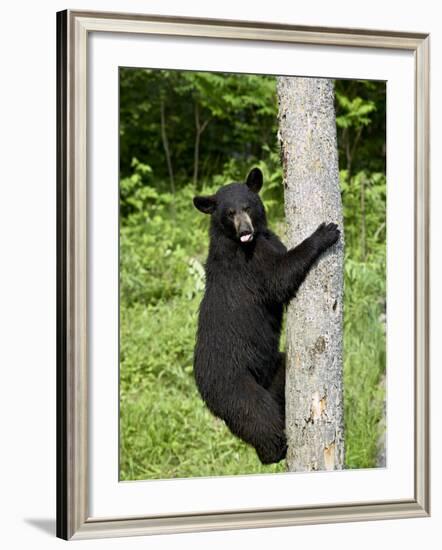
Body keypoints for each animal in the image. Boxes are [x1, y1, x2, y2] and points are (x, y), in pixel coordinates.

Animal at [192, 168, 340, 466]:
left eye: (248, 206)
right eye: (229, 213)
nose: (245, 231)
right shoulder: (249, 264)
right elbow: (279, 276)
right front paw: (325, 232)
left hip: (269, 370)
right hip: (234, 385)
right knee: (257, 415)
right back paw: (275, 449)